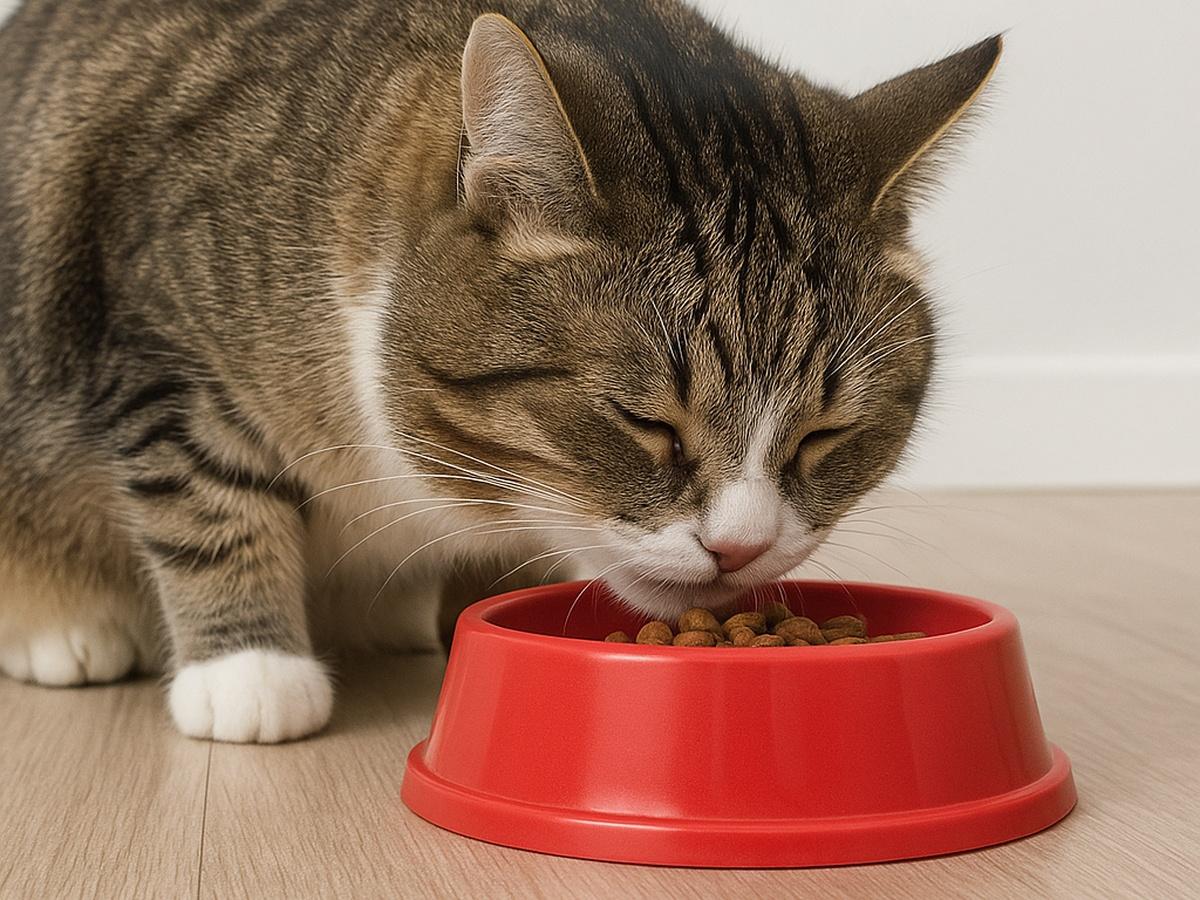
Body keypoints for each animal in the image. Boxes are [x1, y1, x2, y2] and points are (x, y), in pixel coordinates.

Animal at [0, 0, 1000, 742]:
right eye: (646, 423)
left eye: (826, 434)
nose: (740, 549)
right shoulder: (159, 330)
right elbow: (209, 492)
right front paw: (251, 672)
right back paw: (65, 627)